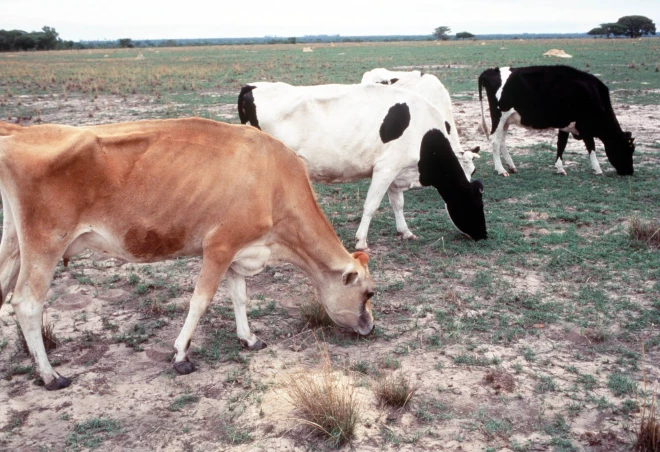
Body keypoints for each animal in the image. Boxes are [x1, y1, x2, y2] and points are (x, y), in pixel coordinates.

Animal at [0, 118, 374, 390]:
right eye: (369, 293)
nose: (370, 327)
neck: (276, 184)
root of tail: (22, 132)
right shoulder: (219, 245)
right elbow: (200, 300)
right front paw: (181, 355)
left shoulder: (240, 251)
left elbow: (239, 297)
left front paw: (249, 338)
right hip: (46, 243)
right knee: (27, 303)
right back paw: (50, 376)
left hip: (14, 244)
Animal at [237, 82, 484, 251]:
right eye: (475, 203)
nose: (484, 235)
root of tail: (253, 86)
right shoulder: (385, 168)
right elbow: (371, 206)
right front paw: (361, 241)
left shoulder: (396, 171)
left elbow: (398, 204)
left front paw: (405, 232)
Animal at [476, 65, 636, 177]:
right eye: (628, 149)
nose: (629, 171)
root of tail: (492, 70)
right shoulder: (585, 127)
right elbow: (591, 146)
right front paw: (597, 169)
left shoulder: (566, 125)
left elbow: (561, 144)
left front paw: (559, 168)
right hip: (499, 116)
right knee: (495, 141)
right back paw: (501, 169)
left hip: (506, 121)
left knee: (501, 141)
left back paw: (511, 166)